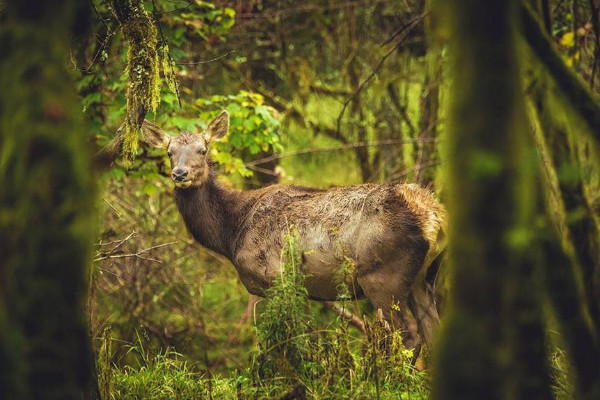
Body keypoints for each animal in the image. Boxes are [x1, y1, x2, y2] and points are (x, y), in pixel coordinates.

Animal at [136, 109, 446, 350]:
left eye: (203, 150)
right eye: (169, 152)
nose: (180, 174)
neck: (231, 232)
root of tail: (434, 219)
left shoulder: (275, 278)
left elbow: (284, 340)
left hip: (382, 276)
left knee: (408, 338)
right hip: (424, 278)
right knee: (432, 333)